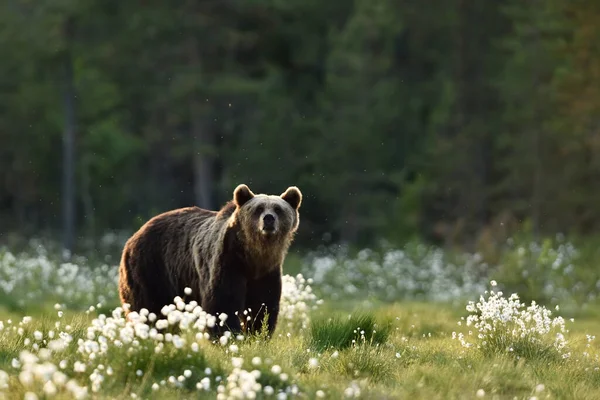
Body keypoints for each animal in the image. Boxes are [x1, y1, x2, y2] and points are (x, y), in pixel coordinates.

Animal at [118, 185, 302, 338]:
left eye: (278, 209)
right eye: (259, 209)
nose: (269, 218)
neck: (253, 256)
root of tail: (134, 236)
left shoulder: (267, 272)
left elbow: (262, 304)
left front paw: (257, 334)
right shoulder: (228, 261)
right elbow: (223, 302)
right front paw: (229, 335)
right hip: (151, 267)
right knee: (149, 307)